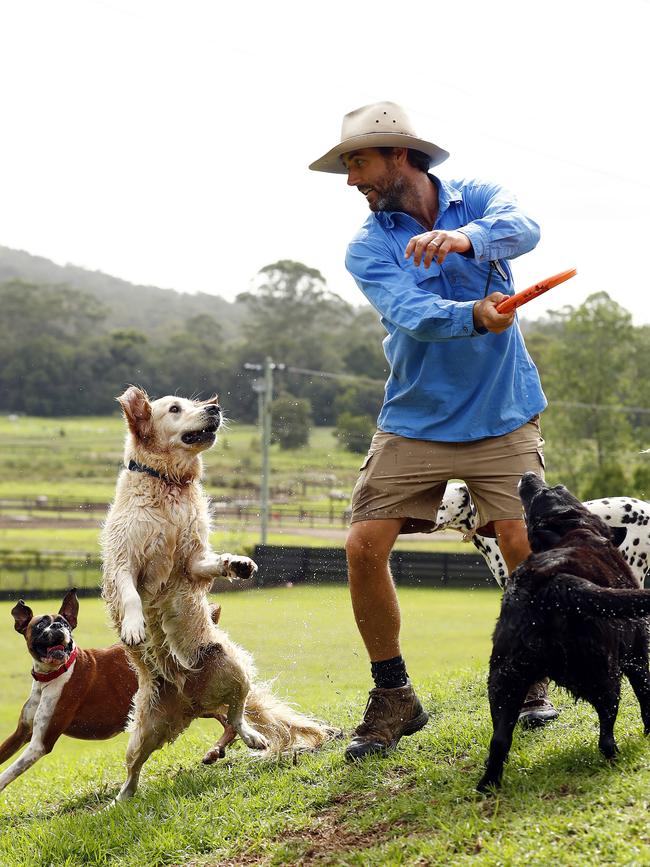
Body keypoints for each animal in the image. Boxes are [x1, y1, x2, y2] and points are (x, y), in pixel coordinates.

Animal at [0, 588, 233, 792]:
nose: (58, 627)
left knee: (230, 717)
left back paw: (217, 748)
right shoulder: (21, 733)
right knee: (226, 718)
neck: (51, 675)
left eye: (65, 623)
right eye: (40, 625)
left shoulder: (40, 743)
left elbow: (7, 773)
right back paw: (216, 751)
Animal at [476, 472, 650, 792]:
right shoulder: (637, 656)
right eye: (556, 488)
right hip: (605, 676)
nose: (528, 474)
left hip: (503, 682)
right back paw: (615, 760)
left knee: (500, 740)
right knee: (606, 736)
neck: (579, 531)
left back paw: (488, 785)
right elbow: (646, 696)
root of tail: (556, 583)